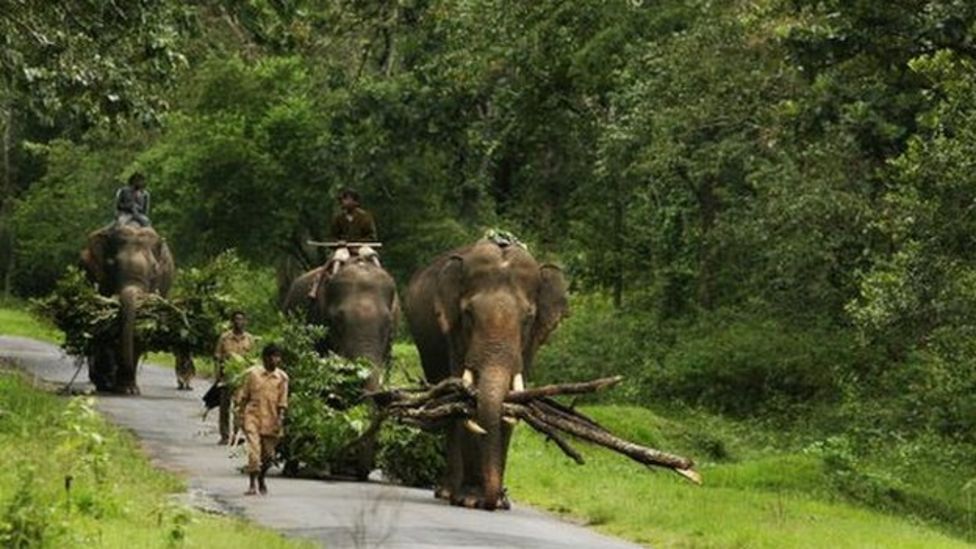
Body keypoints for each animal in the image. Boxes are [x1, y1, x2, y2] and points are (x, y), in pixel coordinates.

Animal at [80, 224, 175, 394]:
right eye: (111, 264)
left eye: (154, 269)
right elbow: (106, 330)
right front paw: (114, 385)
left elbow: (139, 330)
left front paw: (128, 390)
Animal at [406, 240, 572, 510]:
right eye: (468, 314)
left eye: (528, 318)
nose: (496, 499)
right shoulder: (453, 334)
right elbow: (464, 400)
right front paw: (471, 499)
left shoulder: (530, 345)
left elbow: (511, 401)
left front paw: (497, 501)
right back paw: (447, 492)